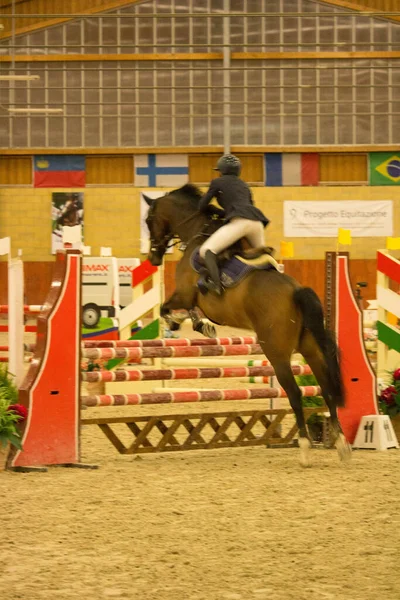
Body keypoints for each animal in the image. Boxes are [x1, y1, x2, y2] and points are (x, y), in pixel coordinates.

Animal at [144, 185, 350, 466]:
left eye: (148, 221)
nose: (153, 257)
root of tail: (296, 290)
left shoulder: (184, 295)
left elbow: (170, 309)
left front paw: (188, 323)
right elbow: (184, 311)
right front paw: (197, 324)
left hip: (277, 354)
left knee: (295, 394)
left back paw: (305, 449)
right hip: (311, 348)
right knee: (327, 389)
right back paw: (341, 445)